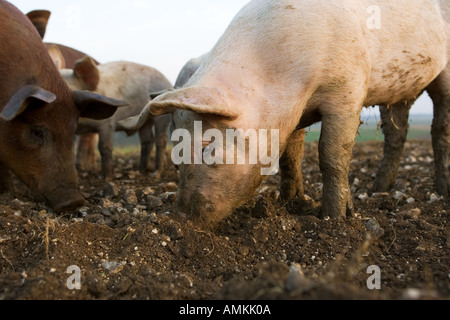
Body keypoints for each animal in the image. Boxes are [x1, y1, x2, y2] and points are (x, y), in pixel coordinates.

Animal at [121, 0, 448, 228]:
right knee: (397, 133)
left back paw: (441, 188)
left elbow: (332, 154)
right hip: (400, 93)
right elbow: (291, 155)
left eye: (208, 149)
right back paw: (379, 189)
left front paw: (335, 218)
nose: (183, 218)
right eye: (176, 156)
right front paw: (289, 202)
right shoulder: (294, 113)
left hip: (443, 73)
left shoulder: (348, 91)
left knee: (440, 128)